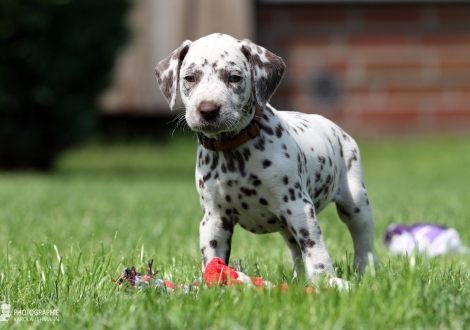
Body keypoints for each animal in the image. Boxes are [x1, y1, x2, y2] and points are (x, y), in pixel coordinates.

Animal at [155, 33, 378, 284]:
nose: (208, 110)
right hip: (287, 225)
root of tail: (335, 127)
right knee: (296, 250)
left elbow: (314, 247)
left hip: (356, 203)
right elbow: (212, 255)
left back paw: (365, 270)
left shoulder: (299, 207)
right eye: (190, 78)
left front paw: (326, 280)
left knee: (363, 240)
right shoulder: (214, 219)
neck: (233, 151)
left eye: (234, 77)